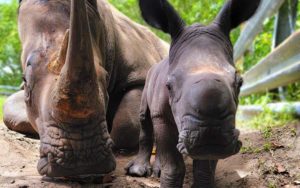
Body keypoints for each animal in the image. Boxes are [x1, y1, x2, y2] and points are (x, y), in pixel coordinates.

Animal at [3, 0, 168, 178]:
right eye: (25, 81)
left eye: (105, 77)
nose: (82, 162)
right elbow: (10, 108)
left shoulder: (140, 74)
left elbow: (127, 123)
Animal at [125, 0, 262, 187]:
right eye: (169, 86)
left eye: (240, 83)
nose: (210, 135)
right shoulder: (161, 114)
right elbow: (174, 165)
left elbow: (205, 166)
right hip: (147, 80)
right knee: (144, 118)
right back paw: (138, 171)